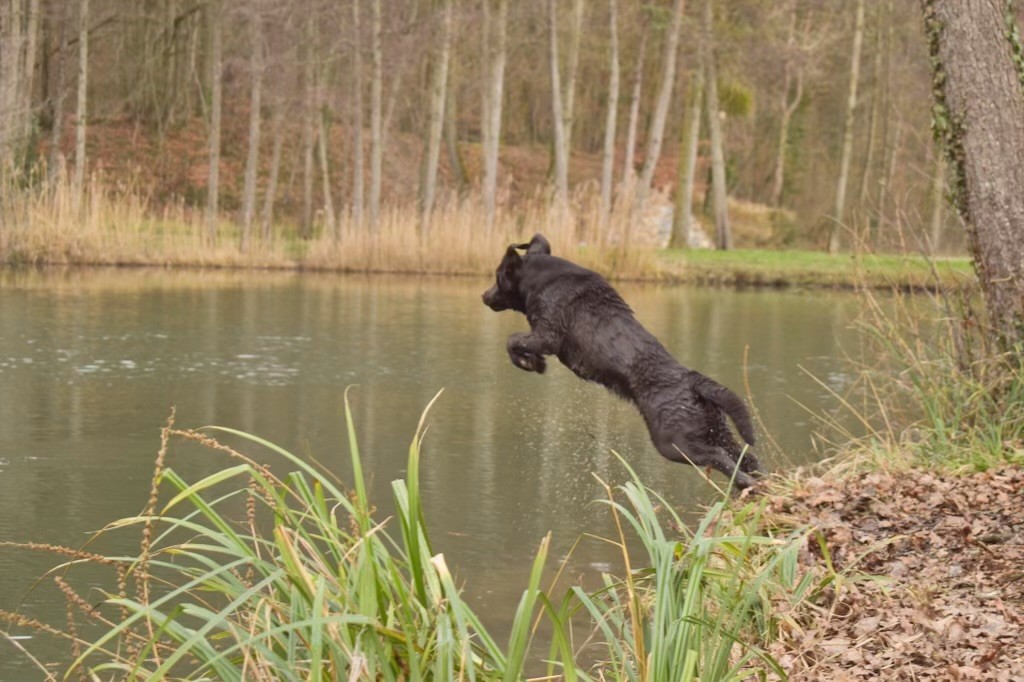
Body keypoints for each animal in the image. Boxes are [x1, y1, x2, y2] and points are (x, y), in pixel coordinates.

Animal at [483, 233, 765, 489]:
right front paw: (535, 361)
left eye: (498, 276)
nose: (484, 296)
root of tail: (693, 382)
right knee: (748, 457)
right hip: (717, 431)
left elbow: (512, 340)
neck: (543, 280)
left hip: (674, 442)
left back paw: (745, 485)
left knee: (720, 458)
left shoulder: (548, 335)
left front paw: (531, 362)